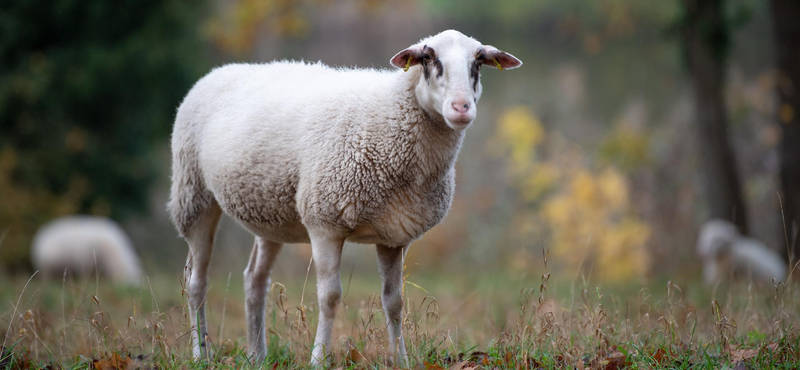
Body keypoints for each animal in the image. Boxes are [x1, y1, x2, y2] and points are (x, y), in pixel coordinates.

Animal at [166, 28, 520, 364]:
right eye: (429, 58)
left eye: (478, 62)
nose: (462, 108)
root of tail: (220, 71)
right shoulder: (324, 224)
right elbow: (330, 297)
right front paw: (319, 358)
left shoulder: (394, 234)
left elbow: (394, 301)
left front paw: (401, 358)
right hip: (193, 193)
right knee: (196, 281)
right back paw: (200, 353)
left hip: (270, 212)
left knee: (255, 279)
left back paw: (257, 355)